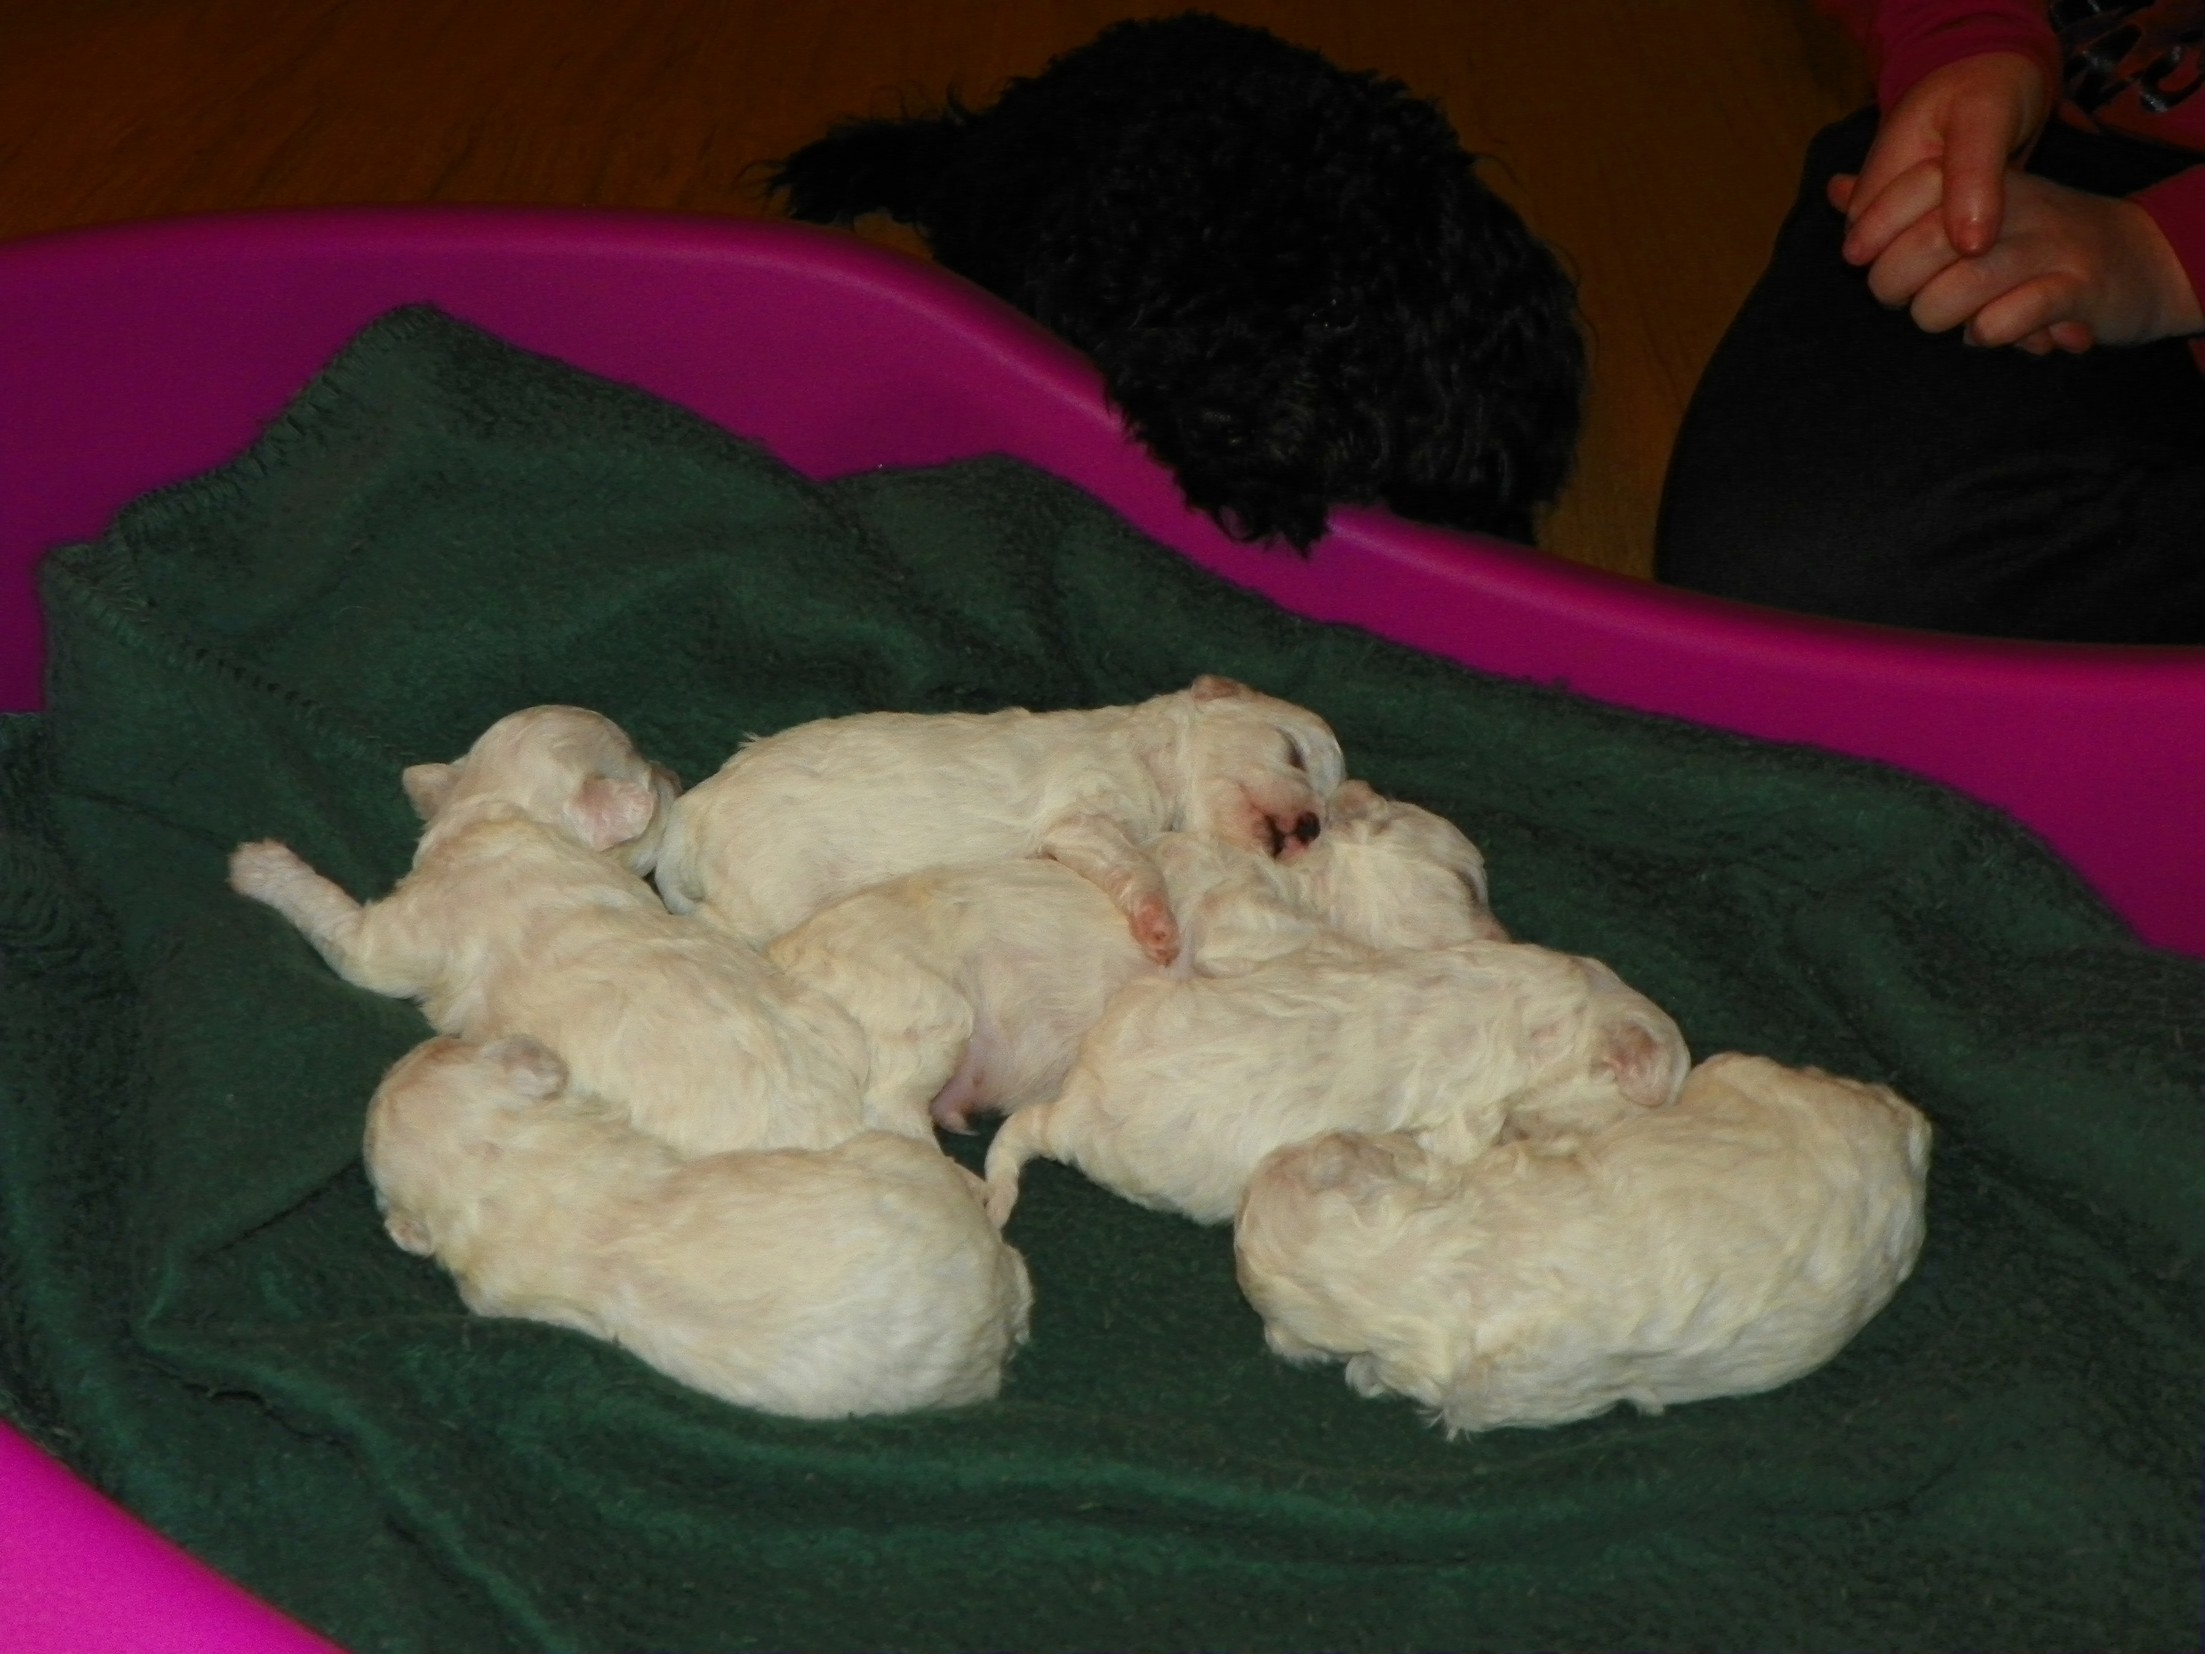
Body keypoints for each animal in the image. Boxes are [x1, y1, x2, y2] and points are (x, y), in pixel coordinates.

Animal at [228, 705, 885, 1157]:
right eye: (651, 774)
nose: (674, 770)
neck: (507, 811)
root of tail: (831, 1130)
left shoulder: (384, 940)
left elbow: (332, 917)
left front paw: (261, 866)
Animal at [653, 675, 1344, 967]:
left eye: (1330, 813)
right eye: (1292, 752)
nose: (1312, 827)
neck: (1157, 758)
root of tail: (685, 821)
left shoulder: (1084, 836)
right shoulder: (1083, 814)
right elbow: (1137, 865)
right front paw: (1160, 929)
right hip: (770, 895)